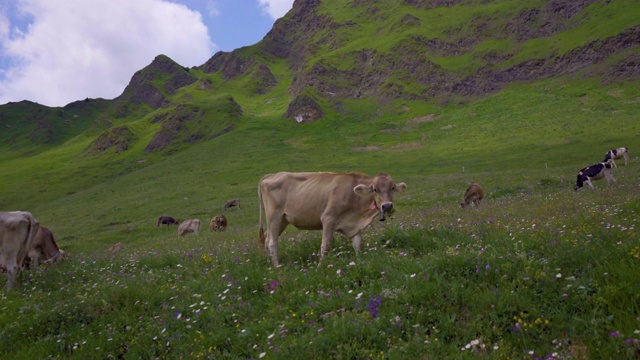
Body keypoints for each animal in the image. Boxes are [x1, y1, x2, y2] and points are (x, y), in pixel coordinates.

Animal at [258, 172, 404, 268]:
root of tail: (272, 175)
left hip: (283, 219)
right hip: (274, 216)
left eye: (392, 188)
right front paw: (320, 266)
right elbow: (326, 246)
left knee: (266, 237)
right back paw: (277, 267)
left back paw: (268, 262)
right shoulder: (328, 218)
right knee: (272, 242)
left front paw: (359, 260)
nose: (387, 206)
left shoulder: (354, 225)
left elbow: (357, 244)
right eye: (375, 189)